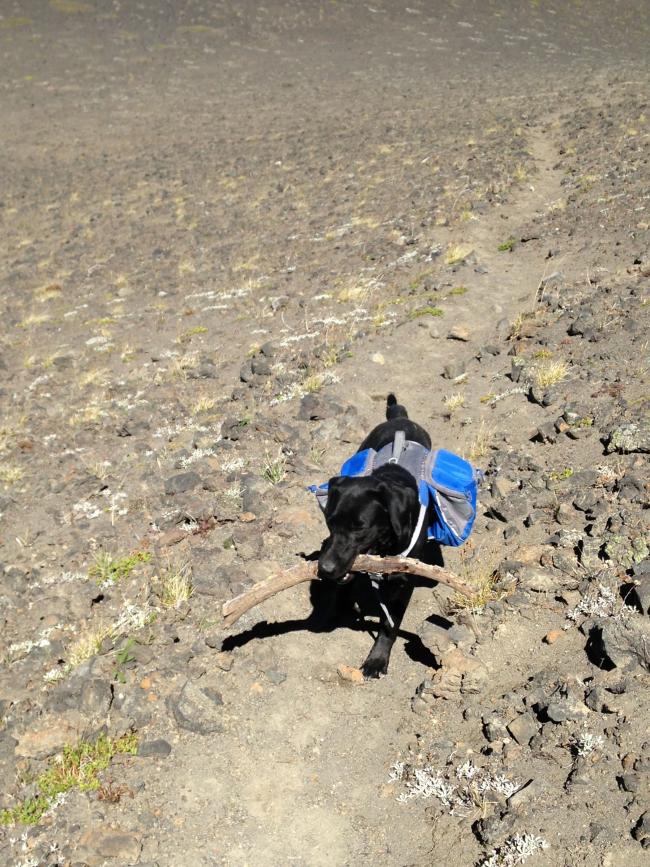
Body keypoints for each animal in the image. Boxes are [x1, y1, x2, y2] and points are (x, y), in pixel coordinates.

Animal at [316, 394, 440, 680]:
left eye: (360, 527)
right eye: (330, 522)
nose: (324, 569)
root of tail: (400, 418)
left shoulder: (403, 581)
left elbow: (389, 624)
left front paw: (377, 659)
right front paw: (338, 607)